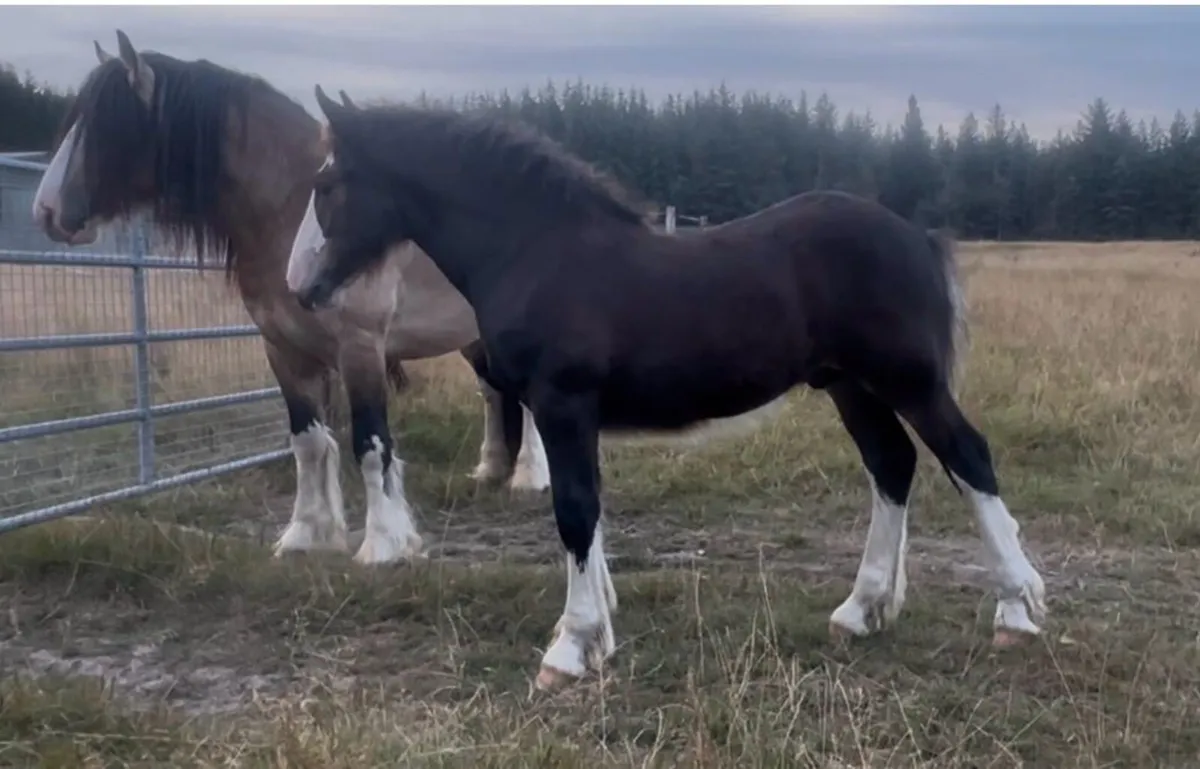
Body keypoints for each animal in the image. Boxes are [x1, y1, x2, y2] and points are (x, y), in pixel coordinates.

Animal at [29, 31, 553, 567]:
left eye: (109, 126)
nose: (46, 211)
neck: (291, 207)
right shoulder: (282, 347)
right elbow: (308, 442)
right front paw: (307, 534)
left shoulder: (360, 346)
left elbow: (370, 443)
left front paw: (383, 544)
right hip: (472, 339)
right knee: (493, 394)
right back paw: (491, 469)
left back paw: (530, 476)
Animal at [288, 86, 1048, 690]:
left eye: (326, 184)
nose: (301, 288)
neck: (539, 251)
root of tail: (917, 236)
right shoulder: (570, 413)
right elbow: (589, 512)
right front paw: (598, 629)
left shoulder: (563, 402)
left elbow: (574, 511)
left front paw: (571, 646)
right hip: (851, 387)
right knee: (893, 465)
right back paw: (861, 610)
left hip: (907, 380)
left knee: (968, 457)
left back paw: (1016, 610)